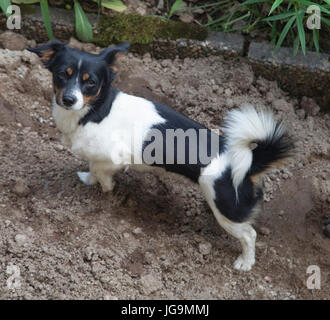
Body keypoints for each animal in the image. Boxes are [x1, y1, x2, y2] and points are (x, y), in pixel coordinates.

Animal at [27, 39, 292, 270]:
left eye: (90, 82)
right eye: (62, 74)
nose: (69, 99)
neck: (96, 110)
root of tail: (252, 162)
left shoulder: (114, 158)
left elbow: (100, 172)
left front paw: (106, 188)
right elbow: (92, 166)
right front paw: (90, 179)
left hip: (228, 210)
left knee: (249, 234)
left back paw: (245, 262)